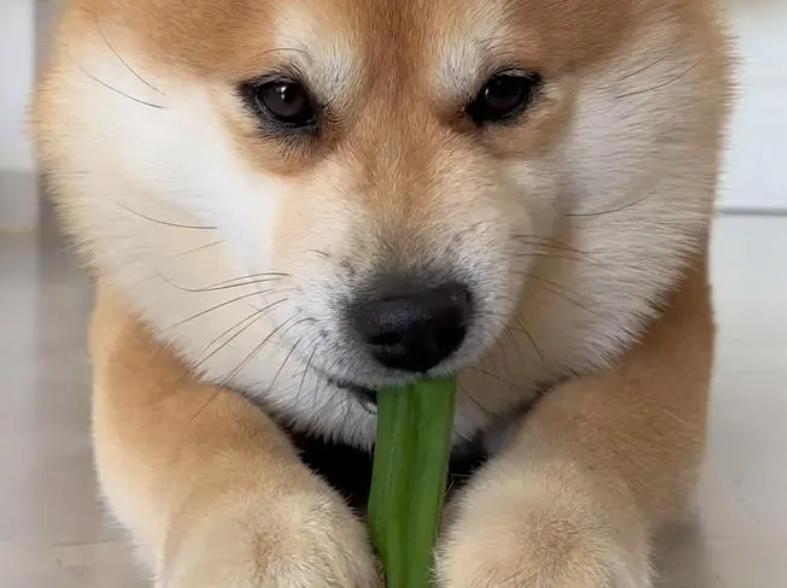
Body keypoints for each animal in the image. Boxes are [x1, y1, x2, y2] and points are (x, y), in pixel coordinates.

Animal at [32, 0, 732, 584]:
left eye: (505, 91)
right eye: (283, 97)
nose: (415, 322)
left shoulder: (664, 317)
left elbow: (595, 426)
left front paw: (545, 553)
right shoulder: (143, 331)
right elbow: (203, 432)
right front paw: (270, 545)